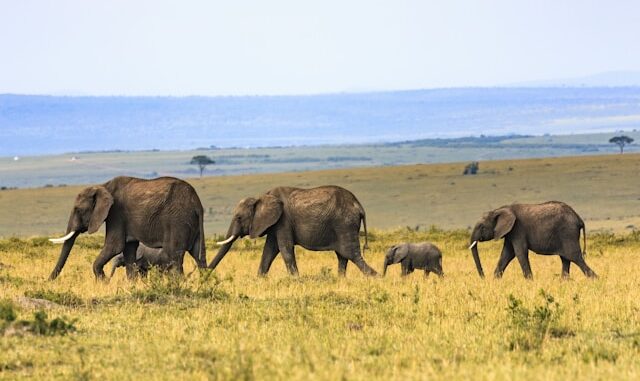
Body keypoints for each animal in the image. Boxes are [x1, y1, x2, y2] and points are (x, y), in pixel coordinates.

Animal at [48, 176, 208, 280]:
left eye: (78, 210)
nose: (48, 280)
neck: (103, 186)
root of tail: (197, 203)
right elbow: (129, 250)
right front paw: (132, 284)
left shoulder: (116, 214)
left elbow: (115, 246)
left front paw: (104, 282)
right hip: (191, 223)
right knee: (198, 256)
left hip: (177, 221)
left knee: (174, 255)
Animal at [208, 185, 378, 276]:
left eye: (238, 217)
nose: (205, 274)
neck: (261, 197)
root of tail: (359, 206)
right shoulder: (275, 223)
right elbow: (269, 250)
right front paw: (259, 279)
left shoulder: (283, 221)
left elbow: (285, 249)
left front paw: (296, 279)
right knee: (343, 256)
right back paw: (340, 279)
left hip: (344, 224)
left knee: (351, 254)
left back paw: (376, 277)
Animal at [468, 200, 596, 278]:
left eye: (482, 227)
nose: (483, 277)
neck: (500, 209)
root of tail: (579, 218)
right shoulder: (510, 233)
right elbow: (506, 254)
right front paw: (495, 280)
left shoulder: (518, 229)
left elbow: (520, 253)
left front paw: (530, 281)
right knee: (566, 259)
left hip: (568, 233)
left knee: (575, 257)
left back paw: (595, 280)